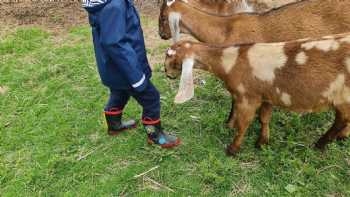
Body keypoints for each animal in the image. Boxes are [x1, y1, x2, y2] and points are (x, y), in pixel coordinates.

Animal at [165, 34, 350, 157]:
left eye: (170, 57)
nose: (166, 73)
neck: (231, 61)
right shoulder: (266, 96)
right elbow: (264, 118)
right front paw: (262, 142)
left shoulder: (247, 98)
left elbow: (243, 125)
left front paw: (232, 149)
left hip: (343, 97)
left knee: (341, 121)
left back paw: (320, 144)